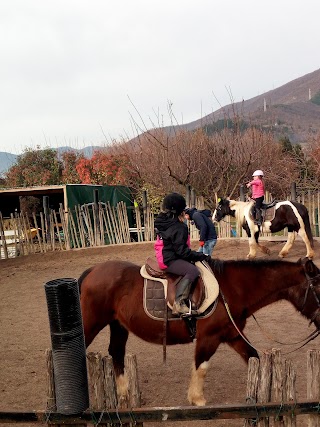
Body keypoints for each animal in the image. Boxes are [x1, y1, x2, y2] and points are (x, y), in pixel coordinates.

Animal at [79, 258, 320, 408]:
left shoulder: (232, 336)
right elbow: (201, 367)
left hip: (117, 325)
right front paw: (197, 399)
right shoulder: (209, 338)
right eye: (318, 287)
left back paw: (125, 394)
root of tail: (93, 271)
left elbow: (254, 357)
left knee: (117, 353)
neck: (231, 290)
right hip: (90, 324)